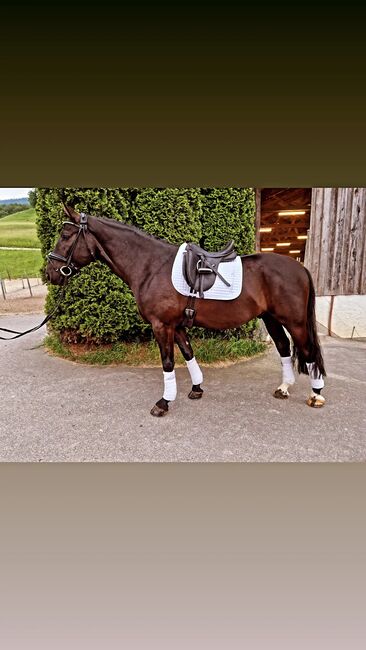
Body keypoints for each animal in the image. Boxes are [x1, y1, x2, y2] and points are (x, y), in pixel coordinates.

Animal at [46, 204, 326, 416]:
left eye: (65, 236)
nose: (50, 273)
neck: (150, 266)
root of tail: (300, 268)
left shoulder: (162, 325)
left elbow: (168, 362)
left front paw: (163, 403)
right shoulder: (177, 325)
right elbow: (189, 354)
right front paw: (197, 389)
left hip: (295, 321)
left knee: (308, 350)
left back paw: (316, 395)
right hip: (271, 319)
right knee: (283, 347)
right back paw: (284, 388)